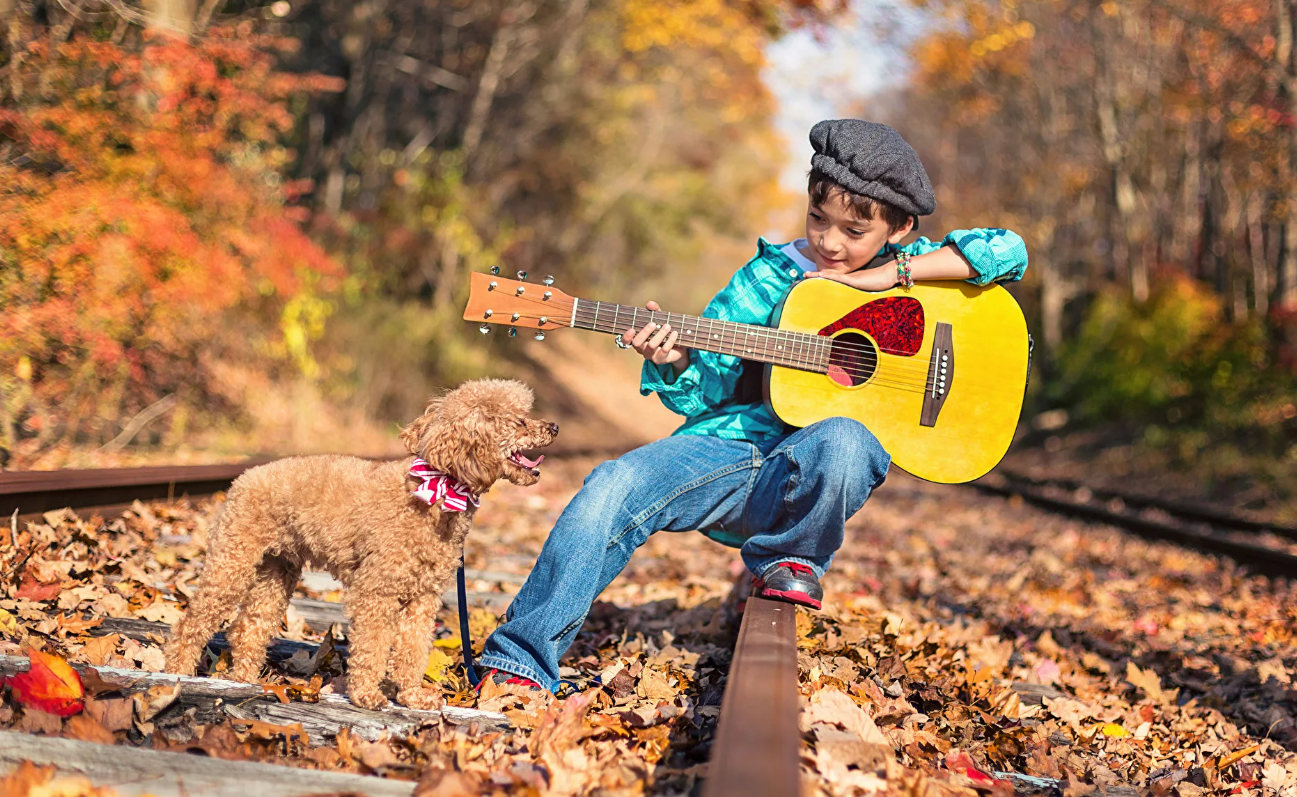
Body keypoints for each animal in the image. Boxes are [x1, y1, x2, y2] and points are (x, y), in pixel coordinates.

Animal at [163, 381, 557, 711]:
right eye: (519, 421)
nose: (553, 427)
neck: (440, 490)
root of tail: (243, 478)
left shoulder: (424, 597)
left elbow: (413, 648)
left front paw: (412, 697)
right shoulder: (376, 591)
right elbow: (373, 645)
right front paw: (367, 695)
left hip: (277, 571)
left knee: (250, 626)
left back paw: (242, 678)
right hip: (233, 559)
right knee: (192, 622)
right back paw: (176, 672)